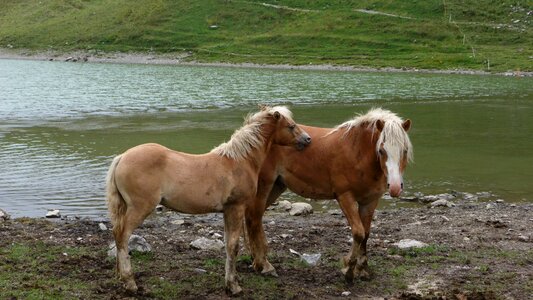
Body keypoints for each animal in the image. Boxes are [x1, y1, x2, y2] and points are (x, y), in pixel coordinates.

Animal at [105, 106, 310, 296]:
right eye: (291, 126)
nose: (307, 139)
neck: (239, 162)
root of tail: (122, 157)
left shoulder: (228, 211)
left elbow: (228, 245)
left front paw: (230, 281)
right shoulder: (236, 208)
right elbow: (233, 246)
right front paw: (233, 286)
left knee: (117, 235)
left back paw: (121, 277)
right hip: (140, 208)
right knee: (122, 236)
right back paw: (130, 283)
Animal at [243, 108, 414, 284]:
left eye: (405, 151)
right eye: (381, 150)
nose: (395, 187)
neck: (357, 152)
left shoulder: (370, 201)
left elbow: (366, 235)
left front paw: (362, 269)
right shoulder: (345, 197)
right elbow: (358, 233)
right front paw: (349, 269)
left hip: (276, 187)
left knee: (253, 219)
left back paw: (257, 261)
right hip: (264, 185)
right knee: (254, 219)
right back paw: (264, 265)